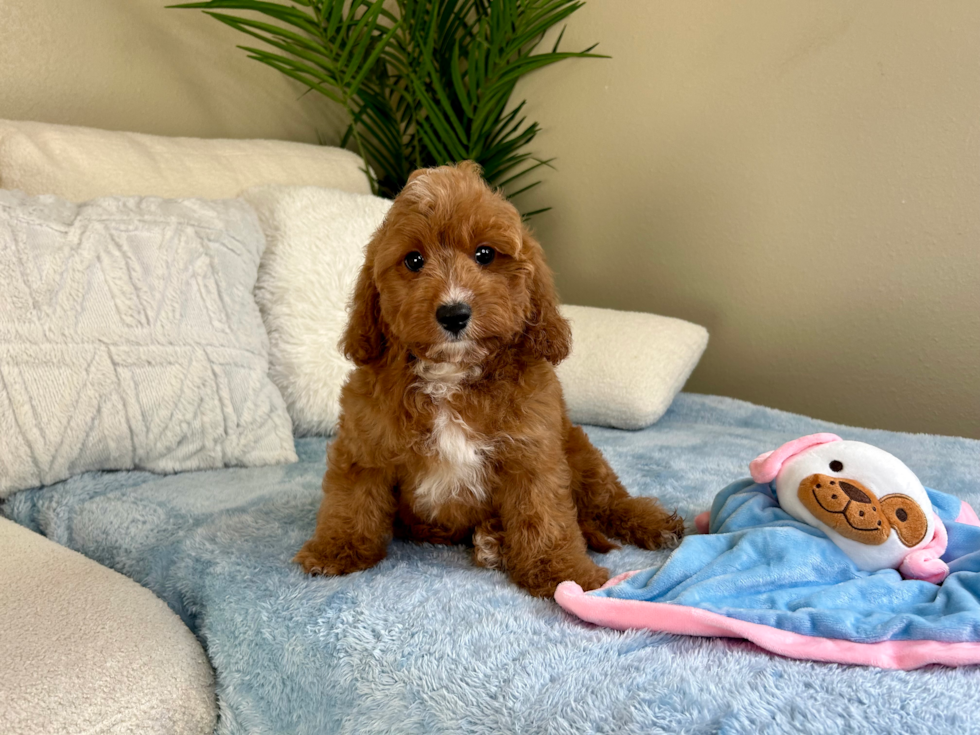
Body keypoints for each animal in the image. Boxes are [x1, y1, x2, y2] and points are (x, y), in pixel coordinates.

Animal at [294, 161, 684, 600]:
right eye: (413, 260)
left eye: (485, 254)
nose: (453, 313)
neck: (452, 374)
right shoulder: (365, 444)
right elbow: (352, 499)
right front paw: (338, 548)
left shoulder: (532, 453)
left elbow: (544, 515)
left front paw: (563, 572)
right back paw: (493, 538)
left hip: (579, 451)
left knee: (608, 501)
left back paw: (652, 524)